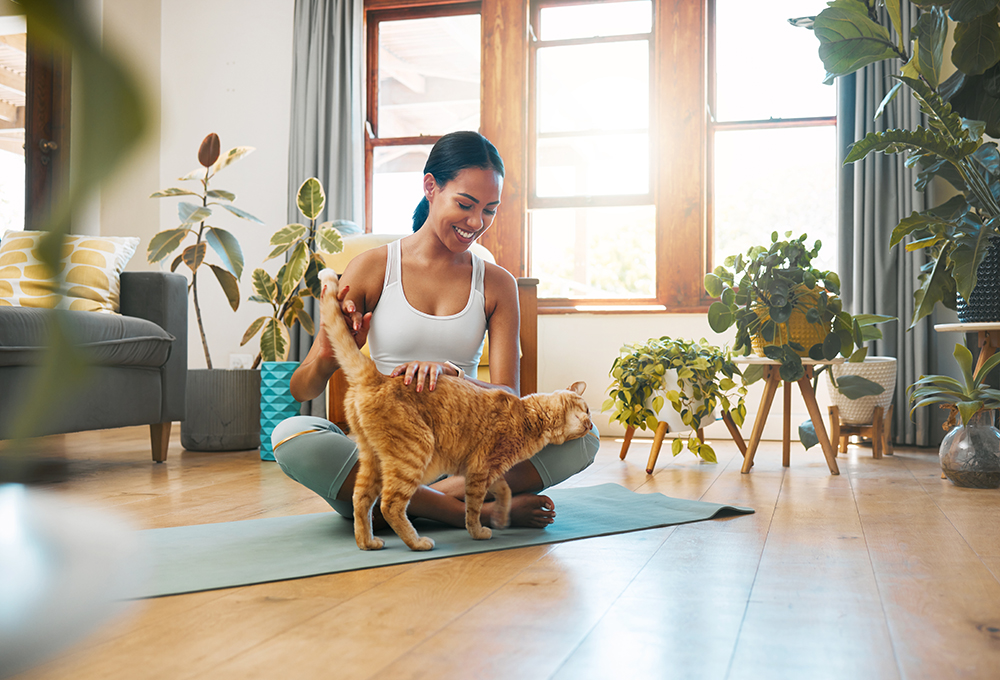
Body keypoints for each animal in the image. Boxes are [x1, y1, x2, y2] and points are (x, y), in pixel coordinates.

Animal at [320, 268, 588, 548]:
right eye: (588, 411)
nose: (591, 424)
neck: (529, 416)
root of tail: (377, 376)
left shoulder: (488, 471)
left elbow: (504, 490)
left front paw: (502, 516)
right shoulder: (480, 469)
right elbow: (474, 508)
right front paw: (478, 532)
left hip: (371, 459)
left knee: (361, 499)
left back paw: (368, 543)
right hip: (416, 451)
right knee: (390, 503)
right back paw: (417, 542)